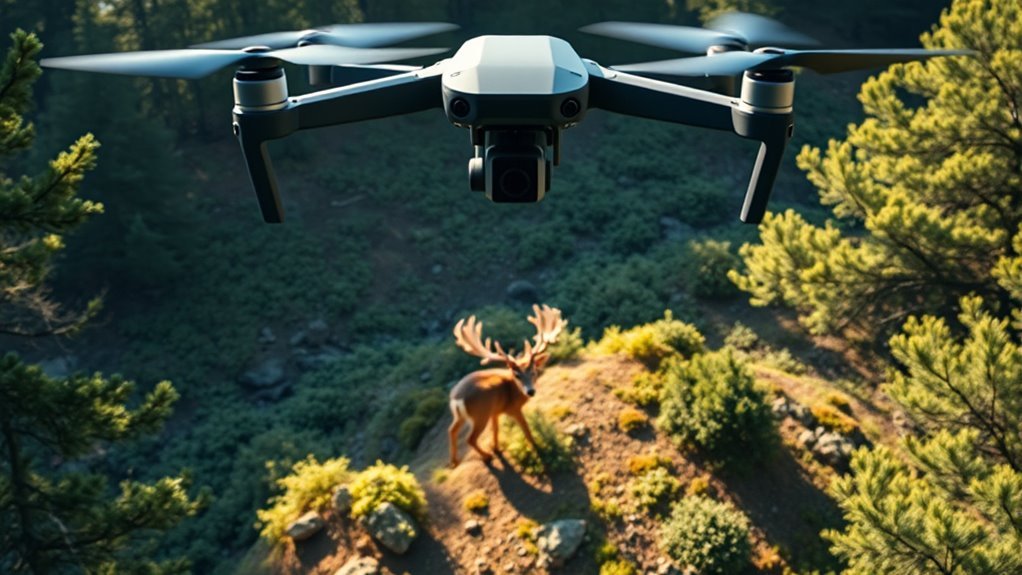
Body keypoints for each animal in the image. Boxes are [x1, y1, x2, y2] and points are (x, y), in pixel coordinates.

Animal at [448, 304, 566, 468]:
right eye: (517, 375)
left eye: (534, 371)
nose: (530, 391)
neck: (514, 390)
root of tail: (457, 397)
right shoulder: (513, 409)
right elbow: (527, 430)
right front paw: (537, 448)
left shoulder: (495, 411)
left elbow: (496, 430)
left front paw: (497, 448)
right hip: (479, 414)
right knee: (470, 438)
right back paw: (486, 456)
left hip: (461, 415)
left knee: (452, 430)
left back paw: (455, 461)